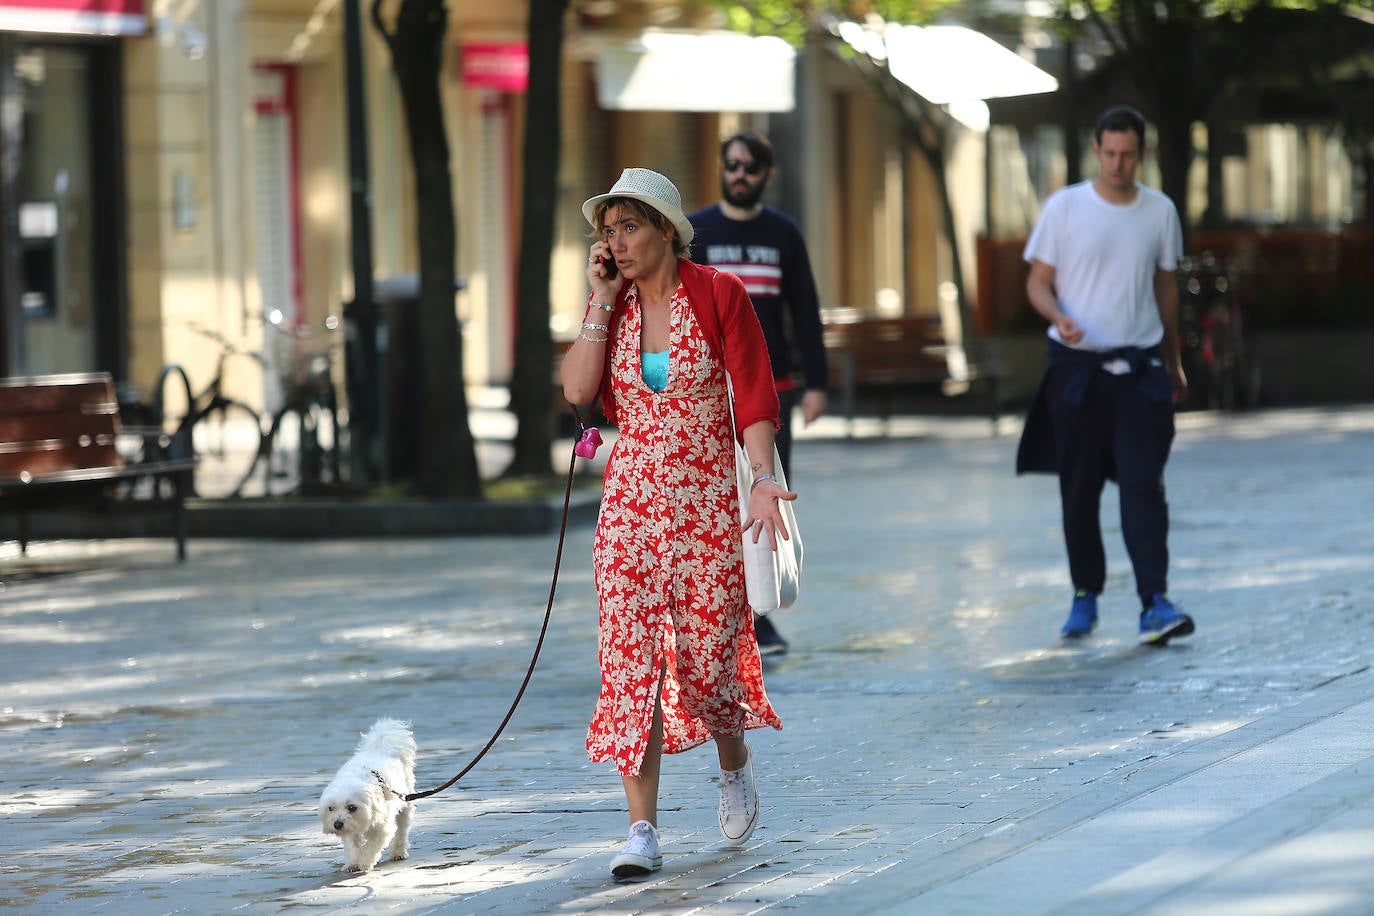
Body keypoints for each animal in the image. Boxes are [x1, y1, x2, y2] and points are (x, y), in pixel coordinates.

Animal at [318, 714, 414, 873]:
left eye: (352, 807)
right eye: (330, 808)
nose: (337, 824)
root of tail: (380, 747)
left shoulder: (383, 827)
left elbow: (372, 845)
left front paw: (364, 863)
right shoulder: (350, 829)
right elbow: (352, 845)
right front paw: (353, 863)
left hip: (406, 803)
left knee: (402, 830)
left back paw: (398, 852)